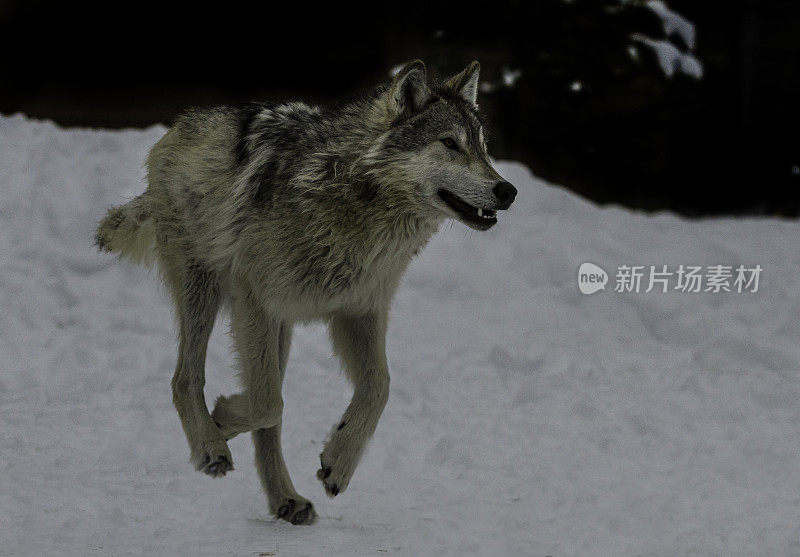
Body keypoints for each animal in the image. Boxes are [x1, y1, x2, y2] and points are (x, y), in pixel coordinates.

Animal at [94, 58, 520, 524]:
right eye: (449, 144)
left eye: (483, 148)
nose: (508, 190)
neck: (354, 202)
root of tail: (178, 126)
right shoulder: (255, 300)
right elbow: (267, 403)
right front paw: (222, 417)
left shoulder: (359, 313)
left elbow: (379, 389)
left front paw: (339, 462)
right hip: (205, 293)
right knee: (187, 379)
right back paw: (211, 446)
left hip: (278, 332)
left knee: (267, 417)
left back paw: (285, 498)